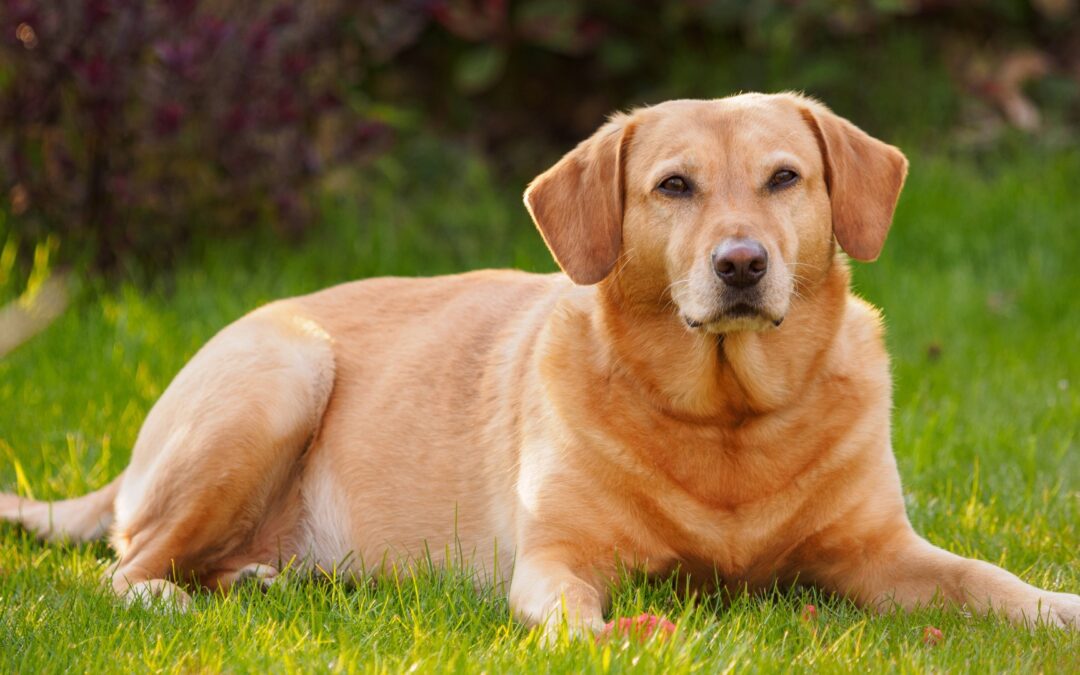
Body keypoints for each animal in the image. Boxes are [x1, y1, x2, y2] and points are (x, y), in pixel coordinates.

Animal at [2, 93, 1080, 630]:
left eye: (785, 178)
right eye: (674, 187)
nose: (741, 265)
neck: (726, 416)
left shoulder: (882, 553)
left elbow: (990, 581)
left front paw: (1055, 608)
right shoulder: (559, 561)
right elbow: (572, 620)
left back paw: (269, 580)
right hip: (281, 378)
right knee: (127, 568)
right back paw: (177, 596)